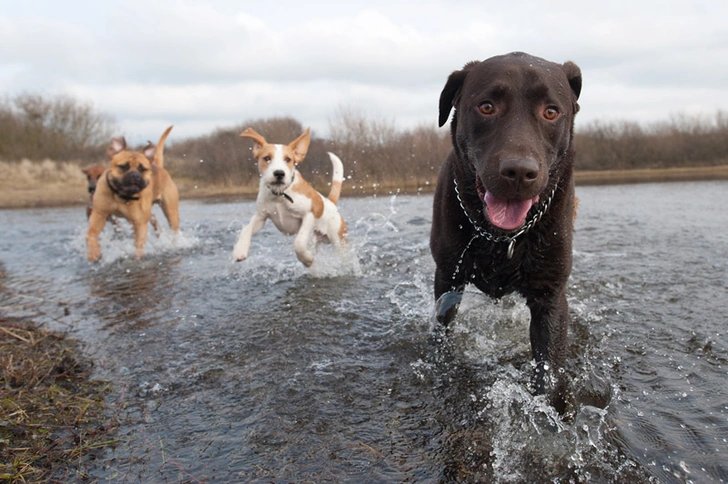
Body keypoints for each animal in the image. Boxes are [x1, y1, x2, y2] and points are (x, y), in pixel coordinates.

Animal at [85, 125, 181, 260]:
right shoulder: (99, 214)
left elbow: (139, 245)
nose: (135, 175)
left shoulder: (140, 223)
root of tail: (158, 166)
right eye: (123, 166)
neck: (121, 196)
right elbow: (91, 233)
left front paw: (137, 258)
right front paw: (93, 252)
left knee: (174, 229)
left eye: (142, 169)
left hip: (170, 212)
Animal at [232, 126, 348, 266]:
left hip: (340, 242)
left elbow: (299, 242)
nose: (279, 173)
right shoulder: (261, 216)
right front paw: (239, 250)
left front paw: (306, 259)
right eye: (267, 158)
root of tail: (330, 202)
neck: (280, 194)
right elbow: (246, 229)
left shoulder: (308, 215)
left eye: (288, 159)